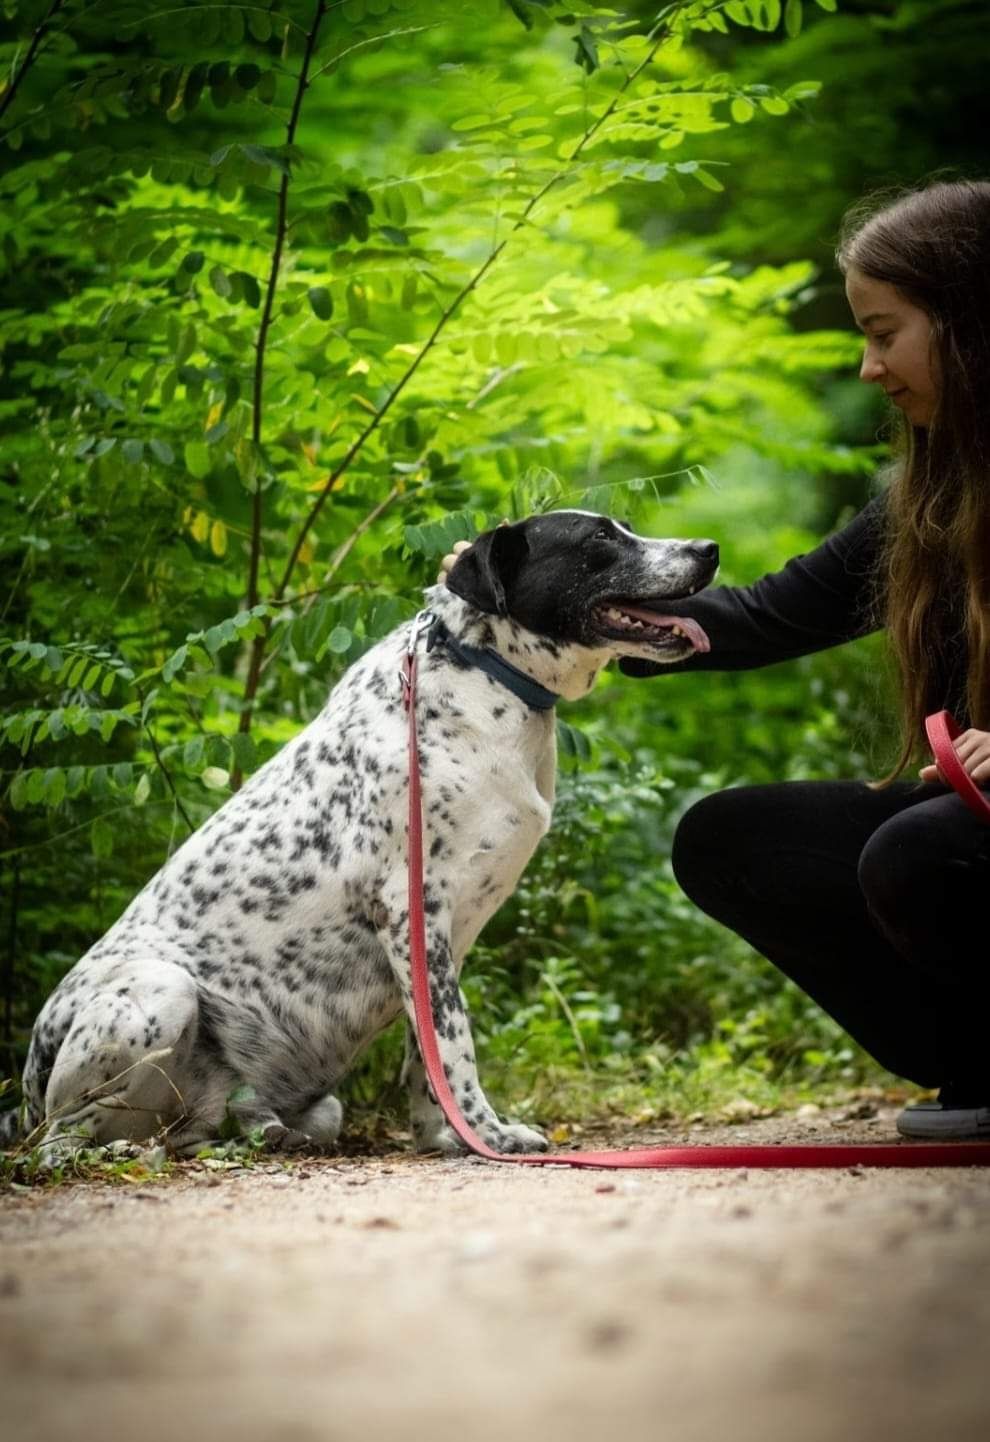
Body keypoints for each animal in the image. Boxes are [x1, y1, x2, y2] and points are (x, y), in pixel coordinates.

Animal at [9, 510, 720, 1159]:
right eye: (599, 537)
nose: (708, 549)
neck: (484, 671)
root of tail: (23, 1097)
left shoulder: (441, 939)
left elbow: (427, 1056)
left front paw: (447, 1138)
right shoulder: (413, 909)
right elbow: (455, 1048)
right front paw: (488, 1137)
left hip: (301, 1103)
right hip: (160, 991)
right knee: (60, 1141)